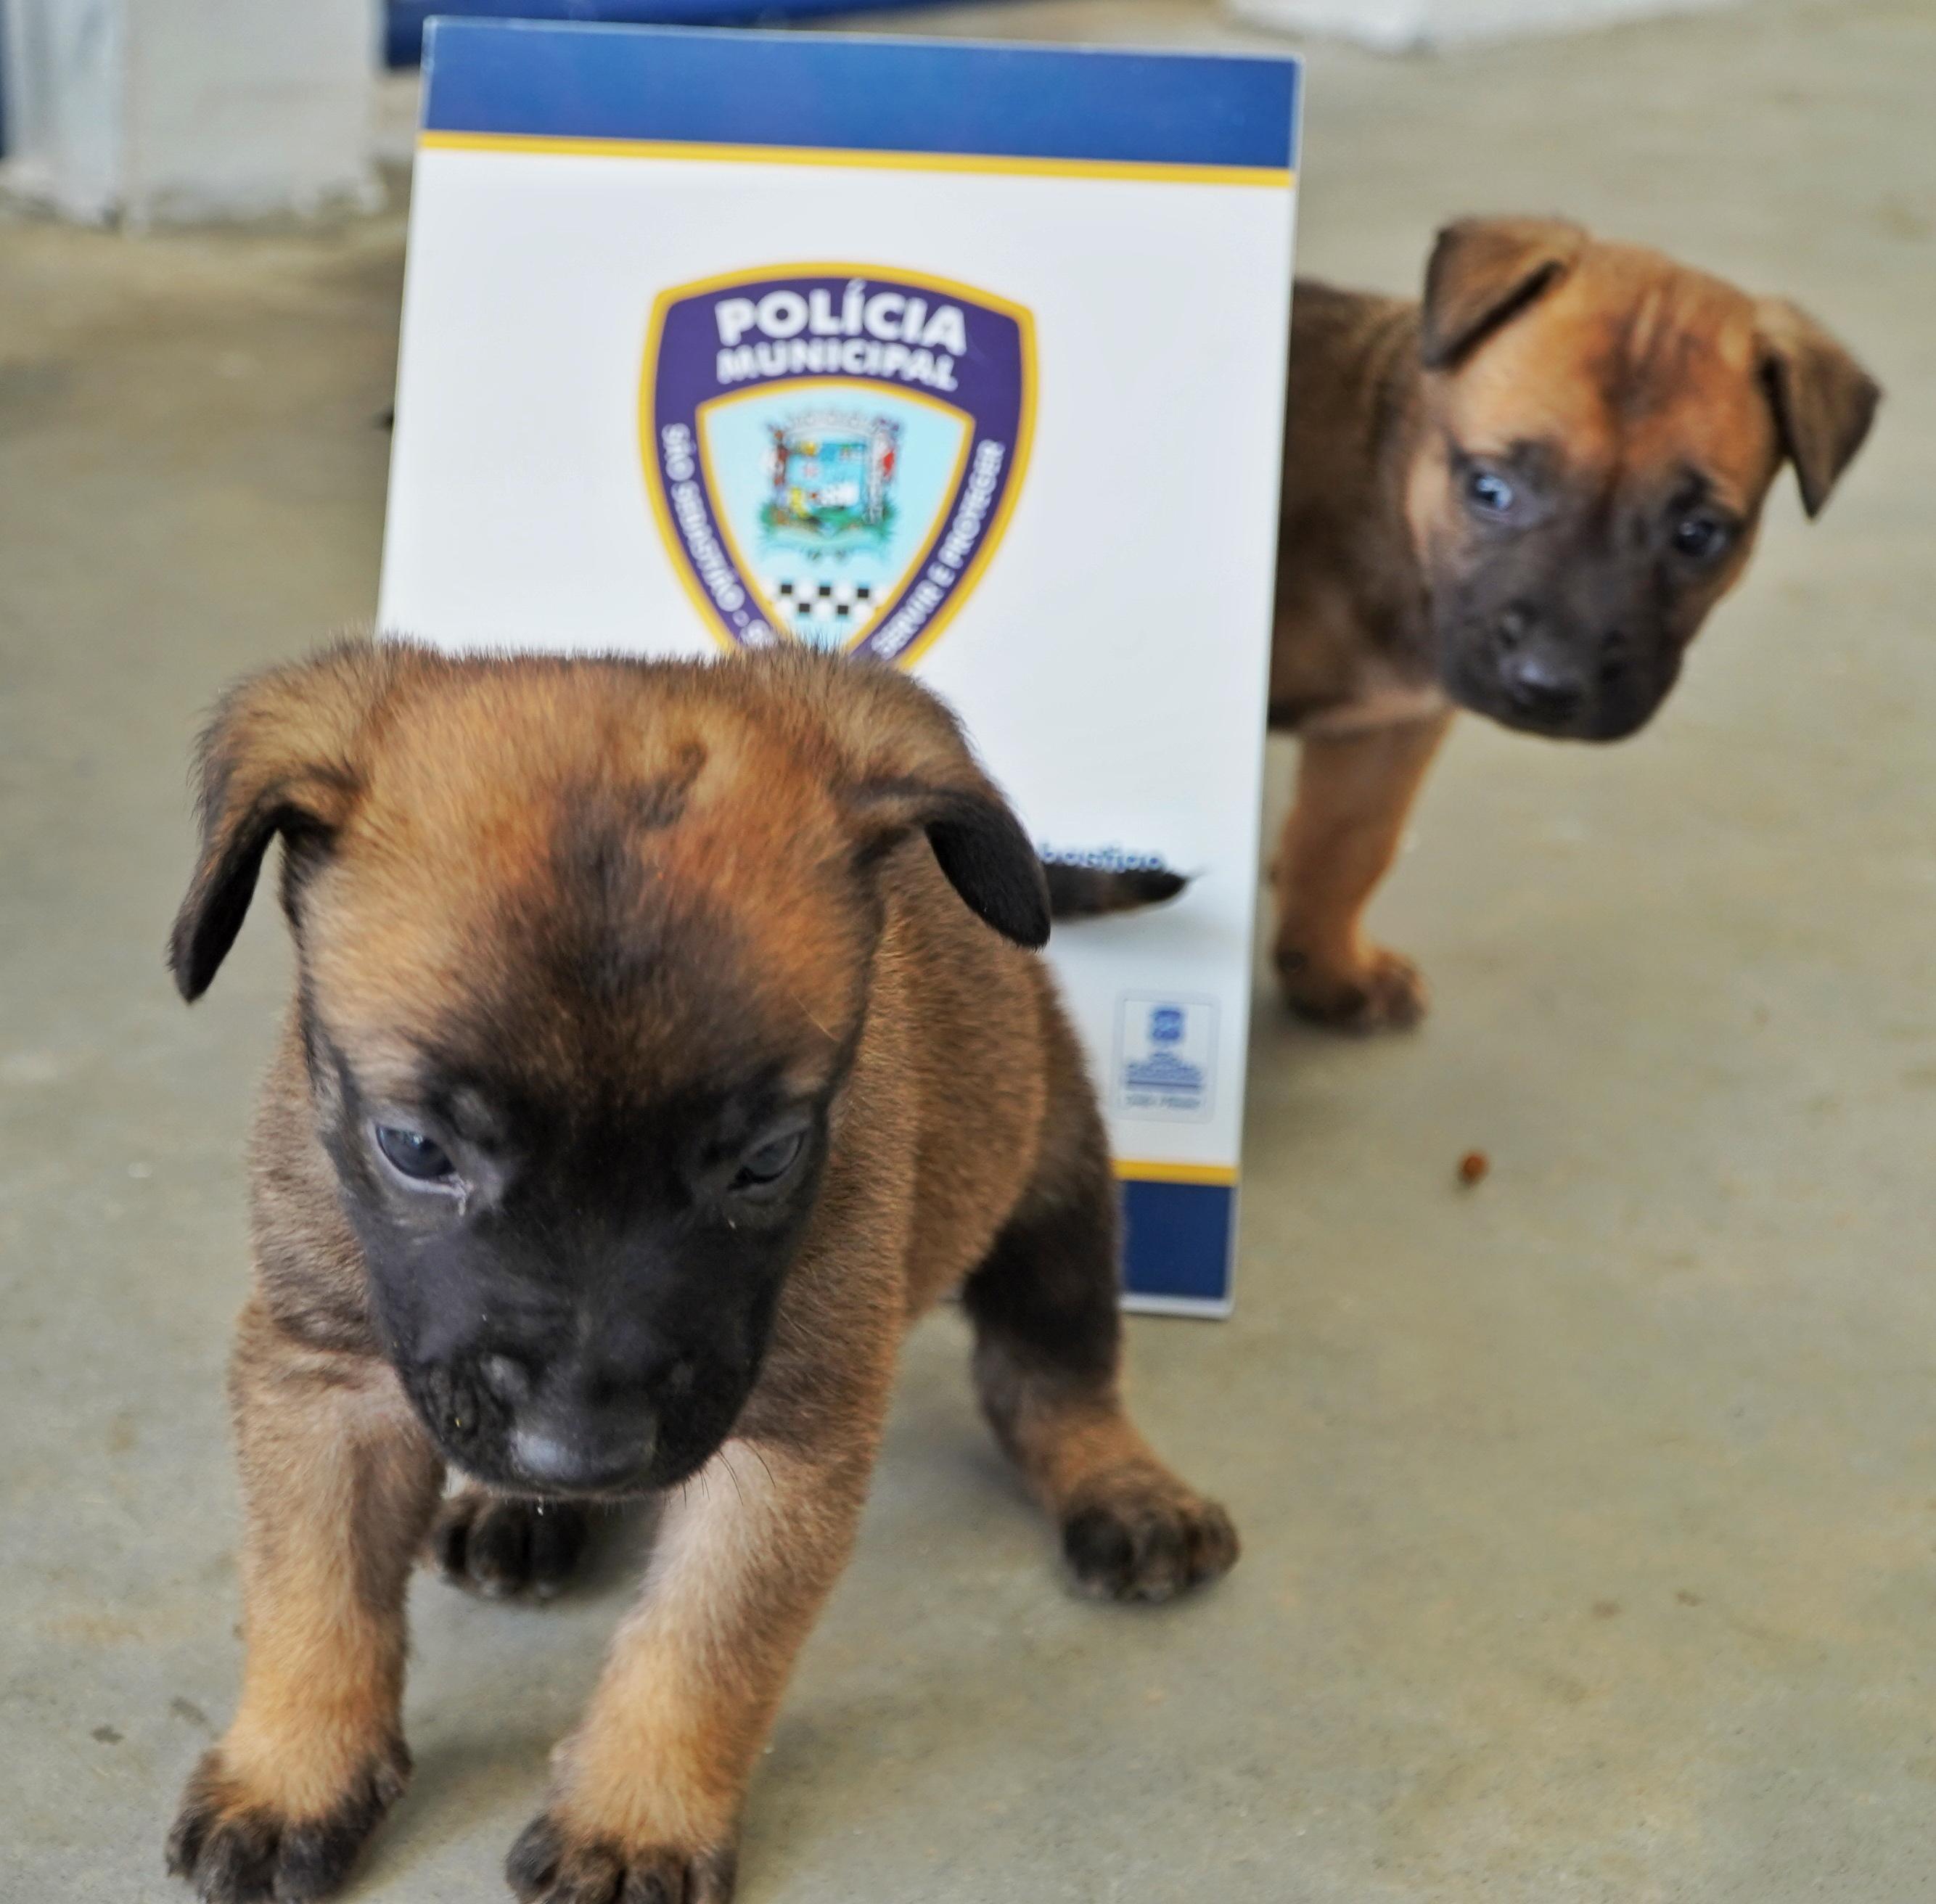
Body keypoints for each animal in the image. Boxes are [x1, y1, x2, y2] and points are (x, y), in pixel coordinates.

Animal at [162, 639, 1237, 1904]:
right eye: (415, 1148)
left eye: (767, 1159)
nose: (582, 1454)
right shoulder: (321, 1375)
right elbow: (313, 1595)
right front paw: (291, 1772)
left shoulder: (786, 1441)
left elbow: (700, 1647)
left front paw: (634, 1816)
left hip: (1052, 1180)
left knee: (1054, 1374)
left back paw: (1123, 1485)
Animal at [1268, 216, 1880, 1030]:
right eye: (1489, 489)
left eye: (1697, 535)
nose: (1549, 686)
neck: (1386, 508)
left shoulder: (1386, 730)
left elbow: (1345, 846)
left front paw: (1327, 969)